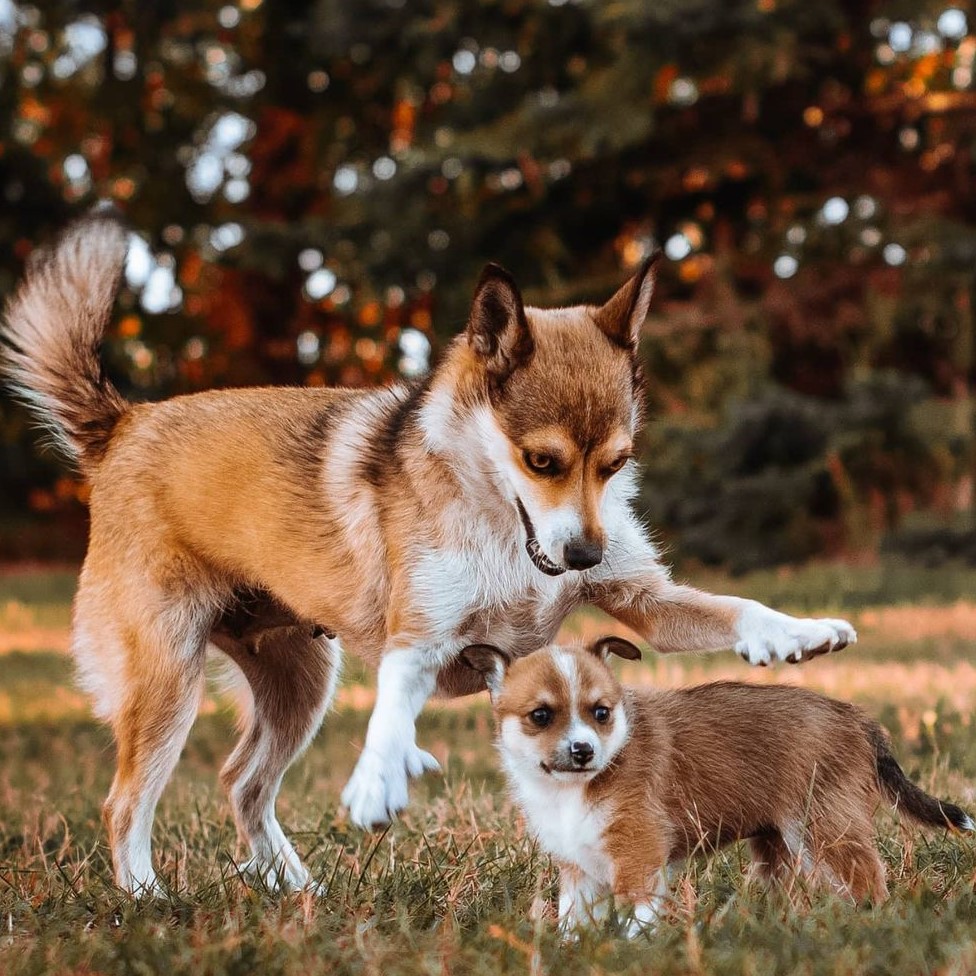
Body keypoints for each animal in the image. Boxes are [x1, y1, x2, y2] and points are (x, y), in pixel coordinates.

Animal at [0, 217, 856, 896]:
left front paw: (798, 633)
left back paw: (296, 889)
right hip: (168, 681)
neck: (505, 525)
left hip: (300, 682)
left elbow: (727, 608)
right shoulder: (418, 633)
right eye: (541, 461)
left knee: (243, 784)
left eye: (615, 463)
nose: (585, 553)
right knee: (127, 804)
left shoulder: (641, 596)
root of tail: (122, 426)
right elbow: (391, 707)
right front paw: (379, 778)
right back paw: (148, 897)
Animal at [466, 636, 976, 936]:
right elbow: (573, 925)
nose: (583, 751)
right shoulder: (579, 873)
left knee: (867, 879)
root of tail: (856, 718)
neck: (575, 789)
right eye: (540, 716)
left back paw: (870, 927)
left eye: (601, 713)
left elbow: (638, 919)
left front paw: (635, 953)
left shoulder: (639, 862)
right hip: (776, 847)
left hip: (823, 830)